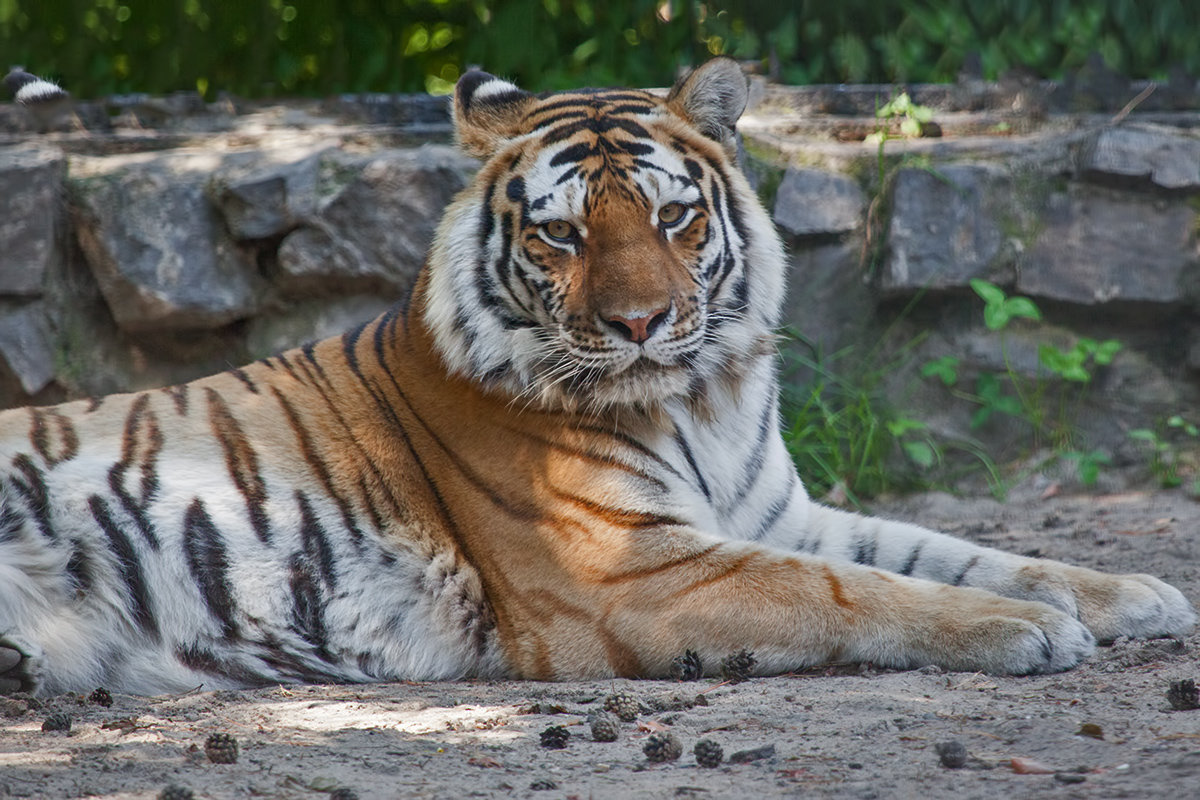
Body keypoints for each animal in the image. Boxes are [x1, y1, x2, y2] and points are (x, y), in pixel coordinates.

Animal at [0, 59, 1190, 695]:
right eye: (563, 235)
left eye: (672, 216)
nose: (642, 322)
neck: (706, 398)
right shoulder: (632, 568)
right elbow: (855, 589)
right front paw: (1024, 630)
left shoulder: (780, 513)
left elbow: (958, 548)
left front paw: (1135, 591)